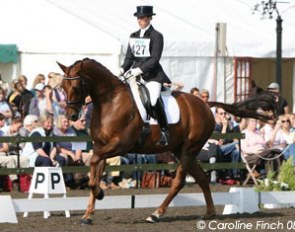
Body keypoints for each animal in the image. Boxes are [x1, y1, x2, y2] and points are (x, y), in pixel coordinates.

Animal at [59, 58, 278, 225]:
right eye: (62, 87)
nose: (71, 116)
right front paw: (88, 214)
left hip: (189, 150)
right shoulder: (102, 147)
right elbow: (94, 173)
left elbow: (93, 165)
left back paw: (156, 214)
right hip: (180, 150)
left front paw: (100, 194)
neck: (109, 102)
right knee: (202, 178)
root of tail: (205, 104)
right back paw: (209, 213)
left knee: (179, 182)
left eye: (76, 86)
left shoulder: (119, 145)